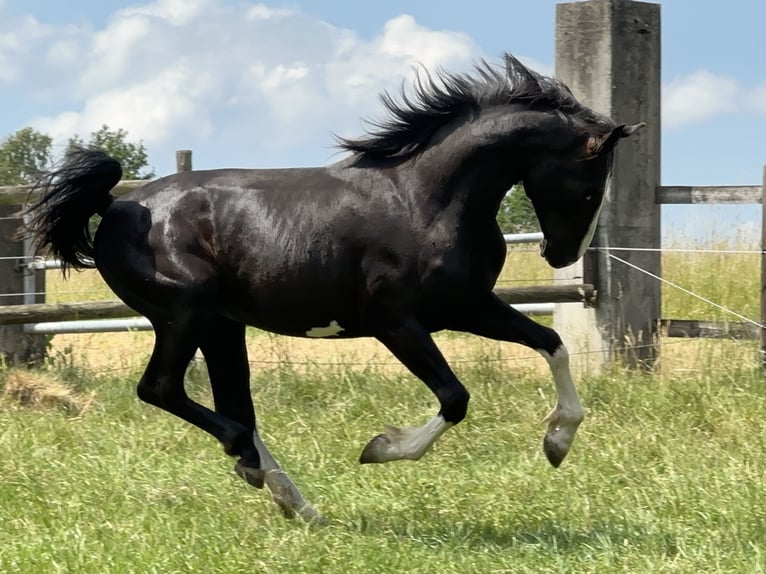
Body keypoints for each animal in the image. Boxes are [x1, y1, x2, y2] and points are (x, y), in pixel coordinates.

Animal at [25, 56, 640, 524]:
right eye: (590, 188)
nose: (562, 256)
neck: (427, 199)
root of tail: (116, 205)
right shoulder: (398, 323)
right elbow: (455, 398)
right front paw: (381, 448)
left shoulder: (469, 307)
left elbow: (551, 344)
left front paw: (557, 443)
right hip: (184, 313)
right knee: (163, 390)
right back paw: (249, 462)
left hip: (222, 324)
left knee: (236, 407)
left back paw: (295, 501)